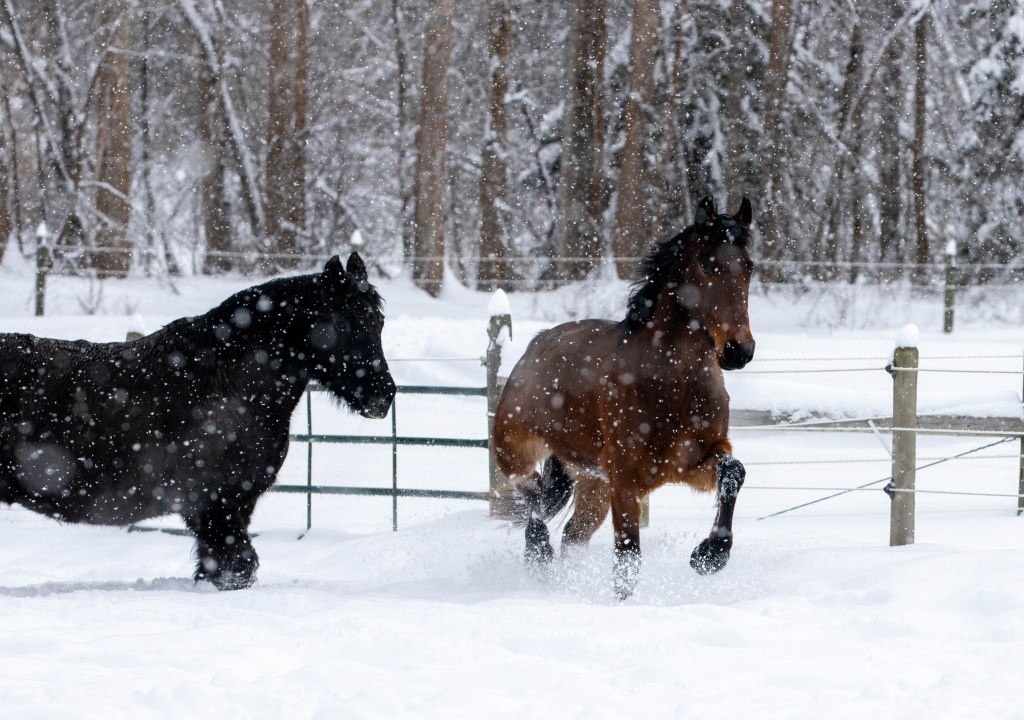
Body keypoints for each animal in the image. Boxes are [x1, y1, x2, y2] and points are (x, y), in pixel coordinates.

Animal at [0, 253, 395, 590]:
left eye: (378, 321)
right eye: (341, 321)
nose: (383, 395)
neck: (229, 379)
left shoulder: (232, 508)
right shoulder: (219, 507)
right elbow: (233, 567)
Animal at [492, 197, 755, 599]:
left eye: (749, 267)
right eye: (708, 264)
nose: (739, 350)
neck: (673, 384)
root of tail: (533, 348)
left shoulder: (692, 461)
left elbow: (733, 473)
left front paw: (709, 555)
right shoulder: (626, 482)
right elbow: (627, 559)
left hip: (595, 487)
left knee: (572, 535)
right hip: (514, 453)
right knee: (534, 497)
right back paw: (539, 555)